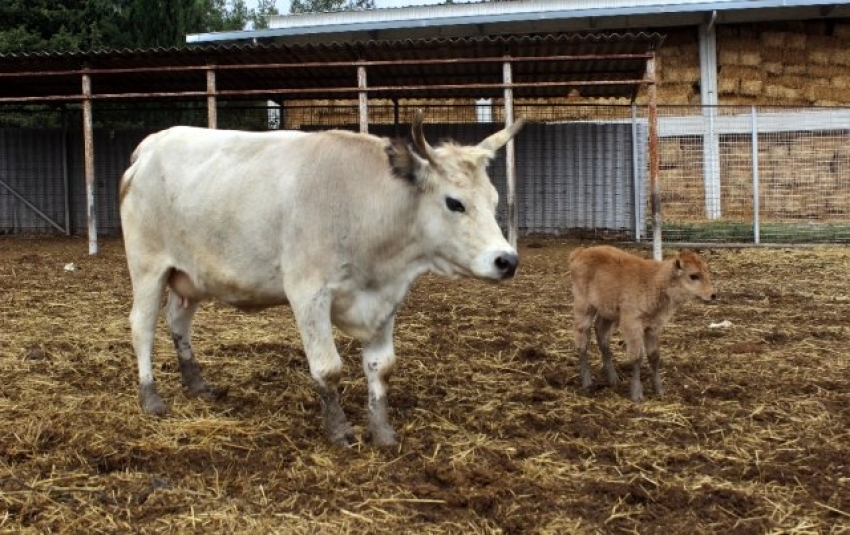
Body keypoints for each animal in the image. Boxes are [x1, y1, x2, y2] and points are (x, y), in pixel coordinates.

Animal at [116, 114, 520, 448]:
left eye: (494, 200)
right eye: (454, 203)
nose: (507, 260)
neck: (364, 207)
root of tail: (151, 145)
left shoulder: (385, 298)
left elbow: (382, 366)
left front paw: (382, 432)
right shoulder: (308, 292)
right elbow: (328, 368)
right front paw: (339, 430)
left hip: (190, 276)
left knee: (178, 321)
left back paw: (197, 384)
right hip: (148, 265)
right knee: (142, 325)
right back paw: (150, 397)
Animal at [568, 247, 712, 402]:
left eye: (706, 272)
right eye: (693, 276)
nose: (713, 295)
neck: (654, 281)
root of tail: (580, 252)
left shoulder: (654, 327)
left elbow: (654, 356)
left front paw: (659, 390)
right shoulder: (632, 324)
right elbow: (637, 357)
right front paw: (637, 394)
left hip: (608, 313)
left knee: (602, 333)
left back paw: (613, 379)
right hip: (584, 307)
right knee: (582, 338)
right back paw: (587, 382)